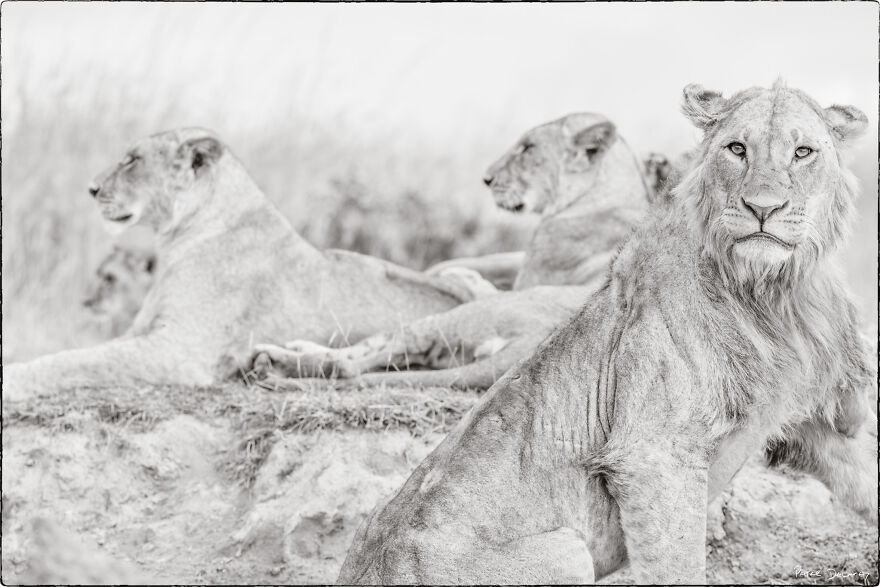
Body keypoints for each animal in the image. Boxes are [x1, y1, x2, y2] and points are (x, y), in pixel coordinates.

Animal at [2, 128, 485, 402]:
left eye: (132, 160)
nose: (90, 188)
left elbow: (74, 361)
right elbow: (77, 354)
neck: (179, 239)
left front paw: (14, 380)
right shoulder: (142, 332)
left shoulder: (178, 350)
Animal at [251, 113, 654, 389]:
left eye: (528, 148)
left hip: (460, 319)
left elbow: (476, 279)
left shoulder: (531, 274)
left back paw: (277, 359)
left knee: (357, 360)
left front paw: (456, 274)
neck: (612, 192)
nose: (487, 178)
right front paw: (452, 270)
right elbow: (485, 262)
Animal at [334, 81, 877, 584]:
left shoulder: (823, 424)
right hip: (568, 548)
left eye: (803, 152)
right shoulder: (654, 455)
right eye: (736, 148)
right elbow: (677, 565)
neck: (773, 292)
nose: (763, 208)